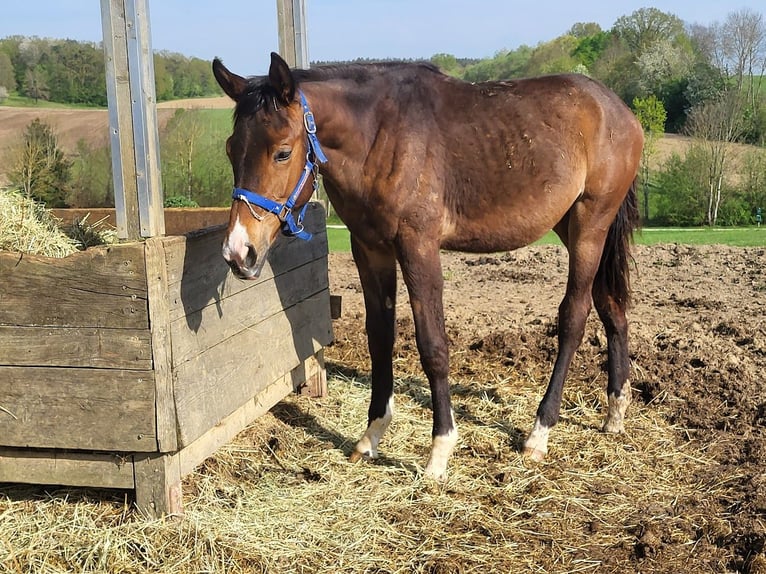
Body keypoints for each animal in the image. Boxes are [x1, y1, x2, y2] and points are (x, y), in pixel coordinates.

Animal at [213, 51, 644, 480]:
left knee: (575, 317)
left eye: (282, 152)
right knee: (612, 307)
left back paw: (539, 432)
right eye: (231, 149)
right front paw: (371, 436)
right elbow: (379, 338)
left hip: (590, 225)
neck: (379, 134)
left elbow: (433, 346)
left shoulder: (418, 248)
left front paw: (440, 450)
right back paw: (615, 412)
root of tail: (618, 110)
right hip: (573, 227)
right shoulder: (370, 250)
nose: (239, 251)